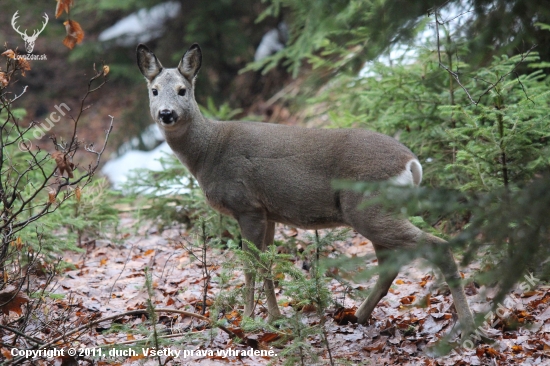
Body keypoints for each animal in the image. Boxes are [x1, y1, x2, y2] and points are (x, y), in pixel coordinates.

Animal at [136, 42, 476, 334]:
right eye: (154, 91)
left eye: (182, 91)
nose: (166, 114)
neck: (208, 152)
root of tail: (413, 164)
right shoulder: (267, 212)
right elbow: (267, 265)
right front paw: (275, 318)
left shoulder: (247, 206)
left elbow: (251, 267)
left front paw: (248, 321)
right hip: (377, 213)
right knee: (389, 267)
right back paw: (356, 316)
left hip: (370, 209)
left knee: (437, 246)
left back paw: (469, 327)